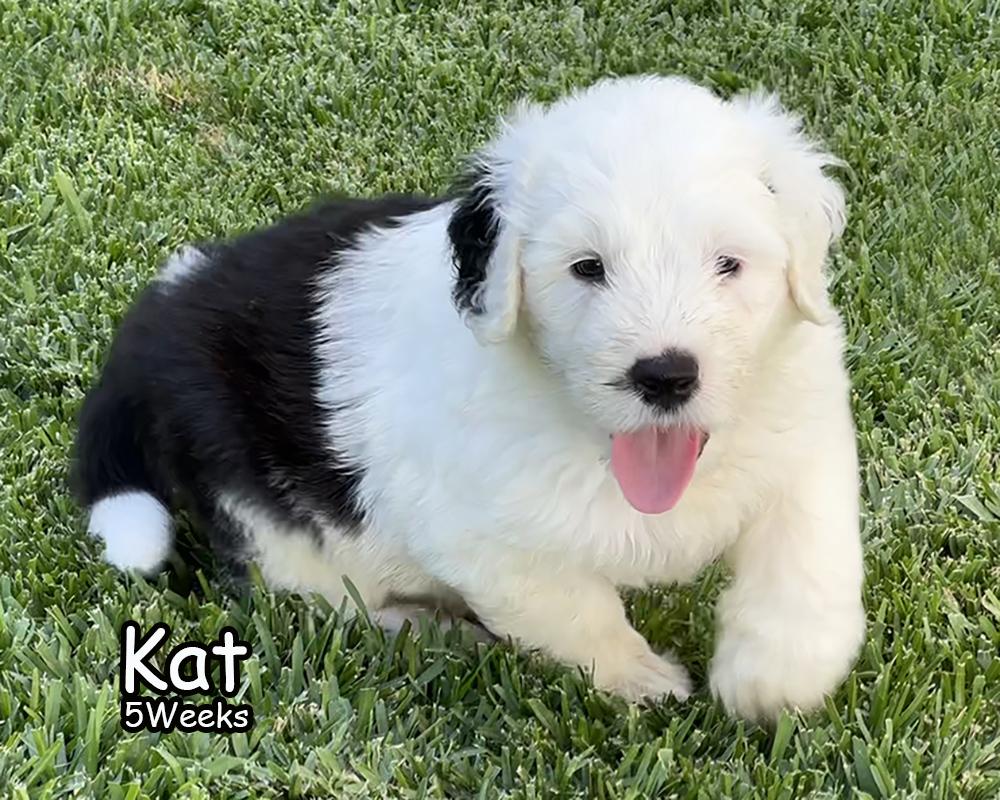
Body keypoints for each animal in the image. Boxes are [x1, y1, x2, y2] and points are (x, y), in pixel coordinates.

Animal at [74, 75, 865, 719]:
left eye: (728, 263)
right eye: (587, 268)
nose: (665, 376)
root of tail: (164, 306)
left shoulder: (802, 432)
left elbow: (807, 557)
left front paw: (772, 681)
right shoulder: (484, 534)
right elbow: (574, 609)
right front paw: (641, 680)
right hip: (268, 511)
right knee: (326, 598)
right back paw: (438, 632)